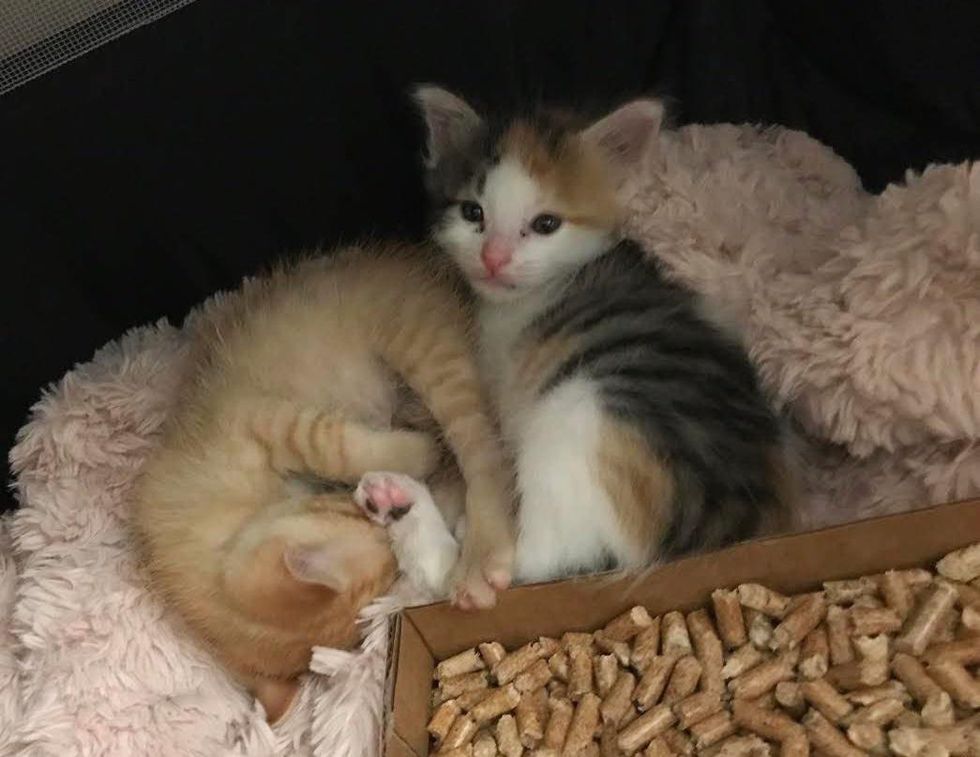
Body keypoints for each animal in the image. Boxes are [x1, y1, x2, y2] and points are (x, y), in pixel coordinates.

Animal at [132, 245, 512, 724]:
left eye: (347, 508)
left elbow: (335, 445)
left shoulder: (261, 420)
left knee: (481, 442)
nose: (380, 507)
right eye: (389, 570)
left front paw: (420, 452)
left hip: (426, 348)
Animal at [382, 87, 796, 584]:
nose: (493, 258)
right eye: (472, 213)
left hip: (575, 415)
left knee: (514, 566)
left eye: (545, 224)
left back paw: (407, 506)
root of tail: (711, 531)